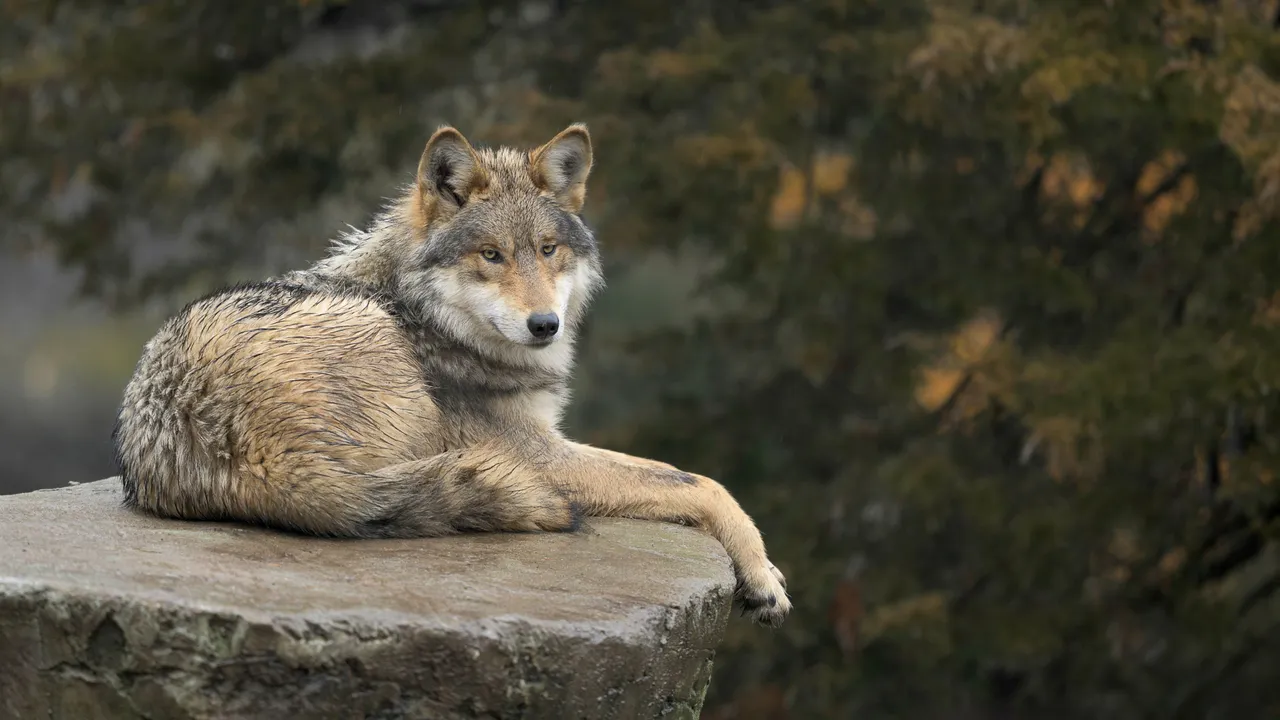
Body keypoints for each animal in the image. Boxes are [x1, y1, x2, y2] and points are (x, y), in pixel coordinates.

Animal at [113, 124, 790, 626]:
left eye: (547, 250)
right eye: (491, 255)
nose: (544, 324)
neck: (424, 313)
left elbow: (689, 479)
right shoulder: (538, 452)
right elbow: (701, 483)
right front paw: (763, 578)